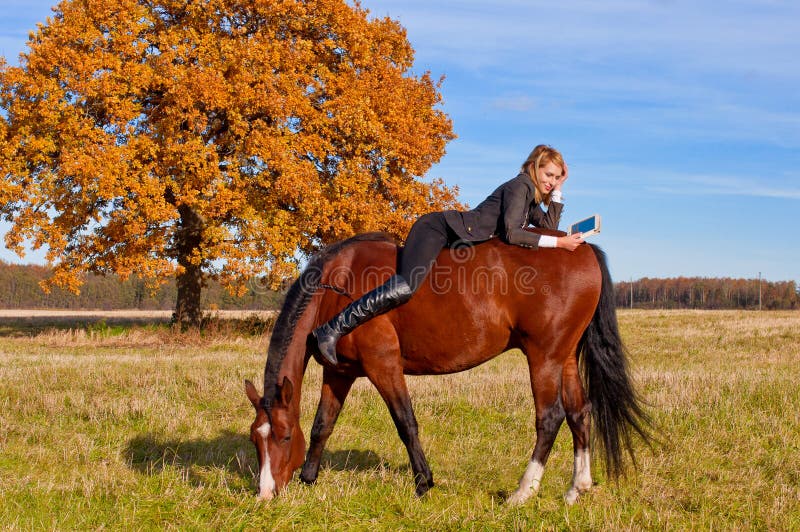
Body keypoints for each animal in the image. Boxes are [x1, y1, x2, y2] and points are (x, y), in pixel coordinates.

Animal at [242, 231, 648, 504]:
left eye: (284, 437)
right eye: (255, 439)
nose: (265, 494)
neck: (339, 287)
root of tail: (581, 247)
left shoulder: (383, 365)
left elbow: (406, 424)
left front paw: (423, 482)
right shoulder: (339, 373)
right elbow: (322, 425)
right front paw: (309, 478)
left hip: (544, 358)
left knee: (550, 418)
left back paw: (523, 492)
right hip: (564, 358)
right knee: (580, 413)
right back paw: (576, 488)